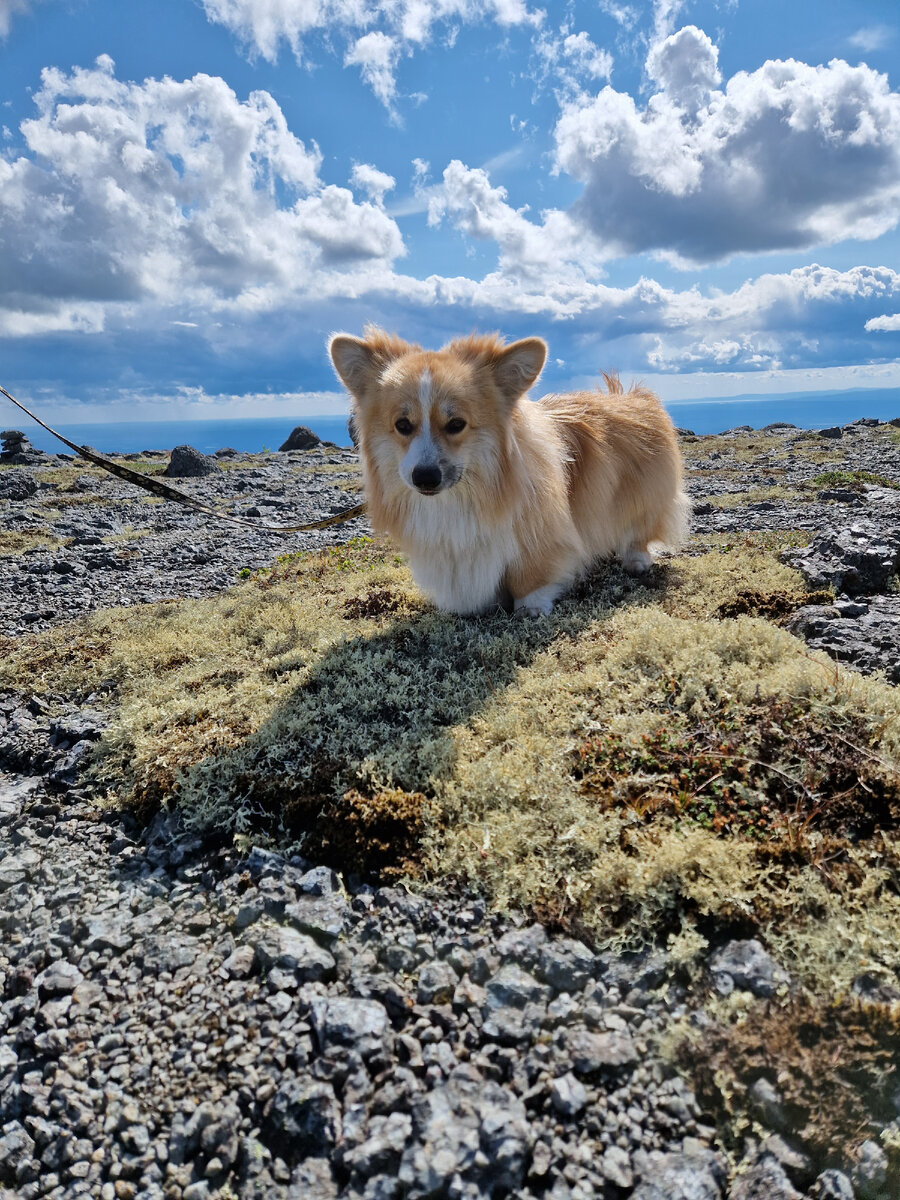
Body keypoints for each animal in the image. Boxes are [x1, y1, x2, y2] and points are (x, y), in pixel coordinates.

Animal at [328, 326, 691, 614]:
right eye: (402, 425)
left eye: (456, 424)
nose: (425, 476)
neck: (461, 498)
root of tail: (630, 397)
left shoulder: (543, 534)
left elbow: (531, 575)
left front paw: (530, 606)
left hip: (644, 496)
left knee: (640, 528)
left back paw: (636, 559)